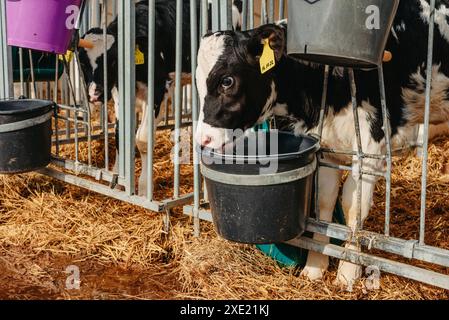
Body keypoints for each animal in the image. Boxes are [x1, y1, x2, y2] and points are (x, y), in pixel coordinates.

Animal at [79, 0, 242, 196]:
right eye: (82, 63)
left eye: (113, 61)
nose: (95, 94)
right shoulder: (120, 92)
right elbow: (120, 136)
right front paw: (118, 180)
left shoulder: (158, 89)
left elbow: (142, 139)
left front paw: (144, 188)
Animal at [197, 0, 449, 284]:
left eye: (227, 81)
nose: (202, 139)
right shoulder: (326, 147)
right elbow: (324, 201)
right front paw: (316, 265)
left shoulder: (372, 143)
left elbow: (353, 205)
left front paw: (349, 271)